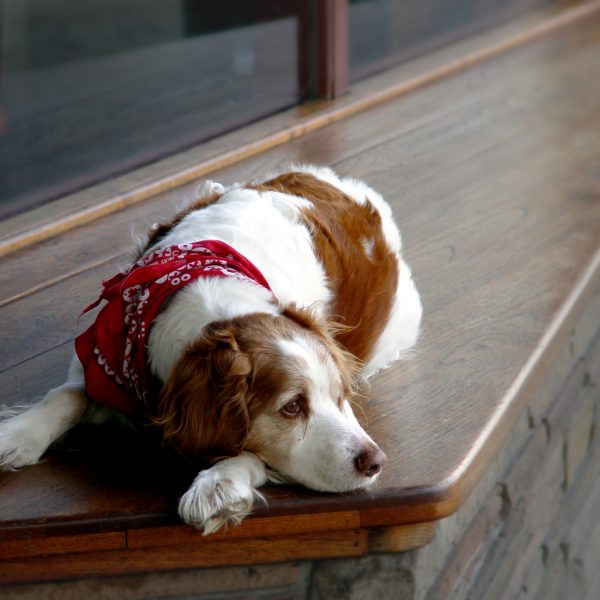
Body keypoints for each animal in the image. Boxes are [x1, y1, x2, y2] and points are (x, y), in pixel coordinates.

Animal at [0, 164, 422, 528]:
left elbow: (244, 449)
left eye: (340, 397)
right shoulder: (102, 361)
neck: (212, 298)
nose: (375, 461)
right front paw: (17, 434)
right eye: (292, 407)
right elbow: (69, 393)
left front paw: (220, 483)